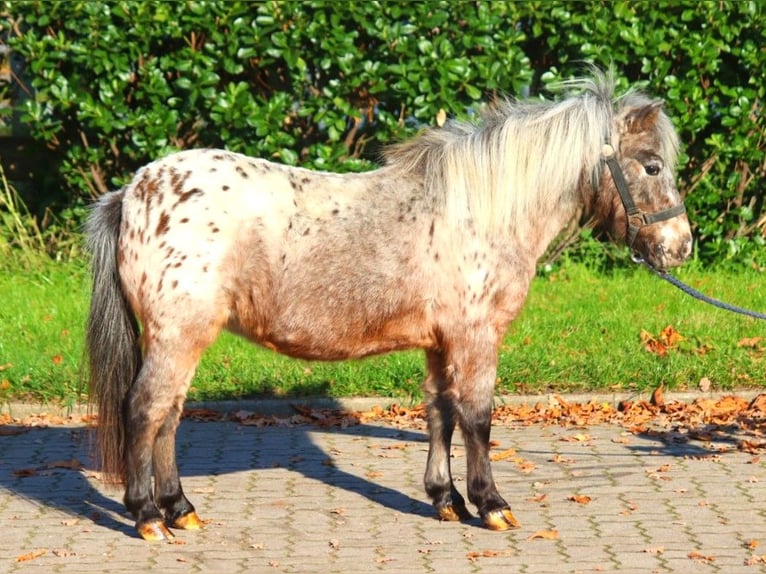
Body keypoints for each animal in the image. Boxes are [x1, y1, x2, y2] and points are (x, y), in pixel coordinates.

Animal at [87, 71, 692, 540]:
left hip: (182, 338)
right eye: (652, 166)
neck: (481, 209)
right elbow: (478, 417)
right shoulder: (476, 337)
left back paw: (180, 509)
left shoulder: (440, 342)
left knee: (168, 416)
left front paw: (446, 500)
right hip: (178, 336)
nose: (681, 246)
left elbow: (440, 413)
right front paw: (491, 505)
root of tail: (133, 192)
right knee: (145, 410)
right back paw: (147, 516)